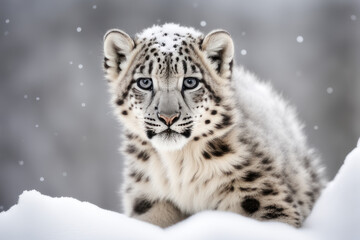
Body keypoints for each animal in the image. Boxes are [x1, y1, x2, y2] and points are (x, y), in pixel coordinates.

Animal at [102, 23, 326, 228]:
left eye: (190, 82)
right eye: (145, 82)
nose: (168, 117)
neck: (178, 166)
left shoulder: (261, 196)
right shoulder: (149, 198)